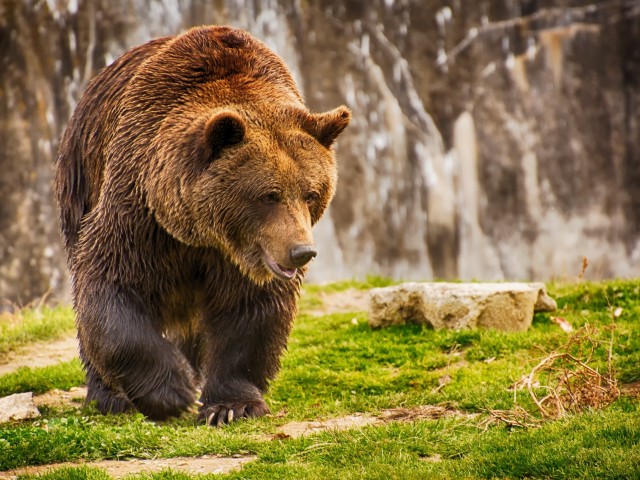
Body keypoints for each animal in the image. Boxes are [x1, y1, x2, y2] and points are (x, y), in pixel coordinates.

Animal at [54, 25, 350, 424]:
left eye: (311, 193)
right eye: (269, 195)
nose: (301, 252)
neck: (201, 234)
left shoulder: (245, 257)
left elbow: (250, 312)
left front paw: (230, 406)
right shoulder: (139, 211)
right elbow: (110, 287)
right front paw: (171, 391)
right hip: (81, 176)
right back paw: (110, 396)